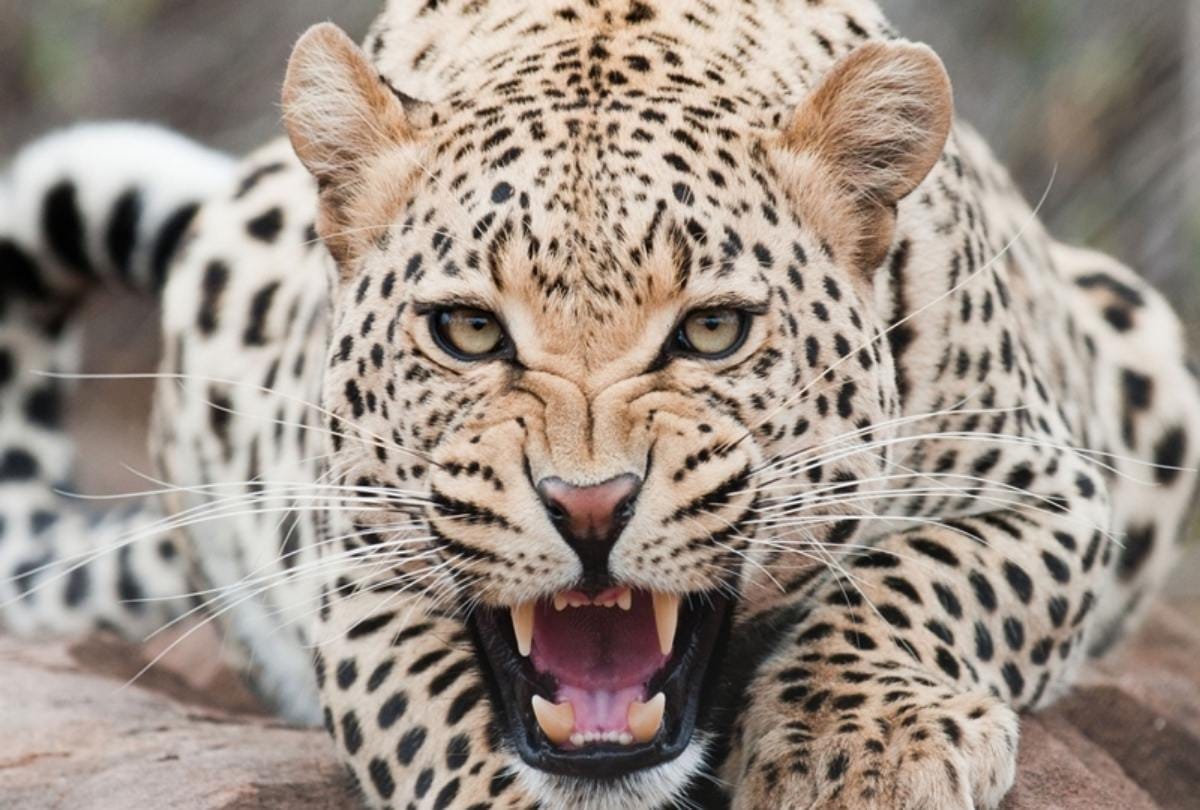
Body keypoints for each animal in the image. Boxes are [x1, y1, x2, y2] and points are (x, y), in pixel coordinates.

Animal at [2, 1, 1198, 808]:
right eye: (468, 331)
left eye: (712, 332)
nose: (589, 508)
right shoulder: (358, 575)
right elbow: (440, 730)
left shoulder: (1049, 489)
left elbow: (923, 577)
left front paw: (861, 751)